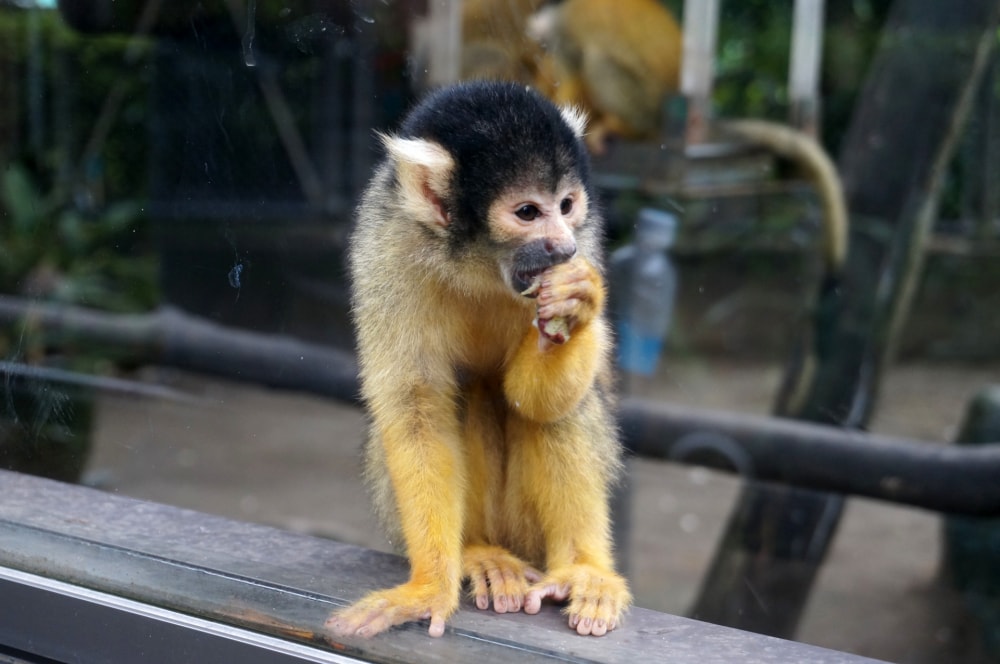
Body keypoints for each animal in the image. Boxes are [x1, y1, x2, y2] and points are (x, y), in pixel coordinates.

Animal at [324, 81, 628, 640]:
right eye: (528, 212)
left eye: (567, 205)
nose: (561, 247)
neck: (481, 265)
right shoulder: (388, 241)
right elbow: (416, 406)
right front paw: (429, 586)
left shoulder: (590, 237)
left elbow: (537, 401)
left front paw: (572, 308)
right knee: (465, 392)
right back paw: (480, 554)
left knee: (561, 409)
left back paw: (582, 570)